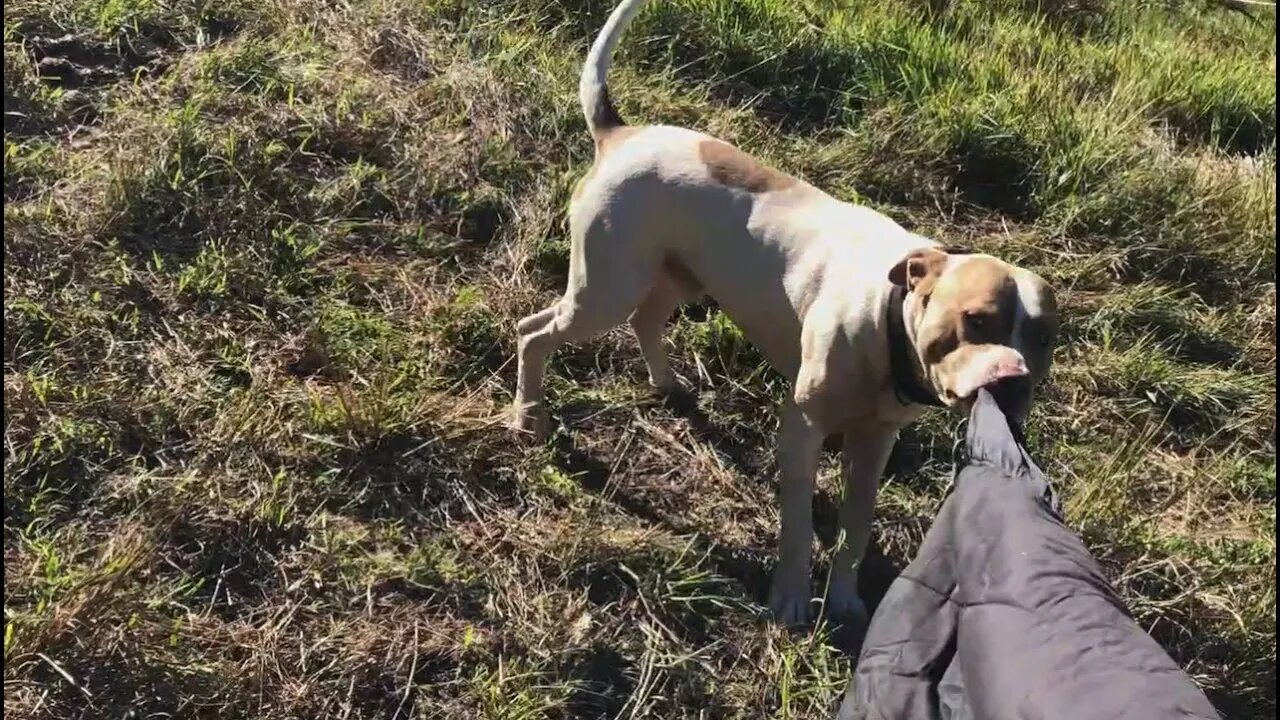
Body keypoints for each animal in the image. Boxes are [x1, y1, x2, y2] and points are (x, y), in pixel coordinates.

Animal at [509, 0, 1059, 622]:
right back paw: (529, 415)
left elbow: (855, 528)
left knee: (645, 321)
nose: (1014, 381)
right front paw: (793, 596)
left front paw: (843, 599)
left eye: (1045, 339)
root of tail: (622, 134)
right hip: (604, 290)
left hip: (676, 277)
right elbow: (796, 527)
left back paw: (666, 383)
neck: (886, 317)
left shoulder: (874, 445)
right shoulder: (801, 433)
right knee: (534, 332)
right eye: (977, 320)